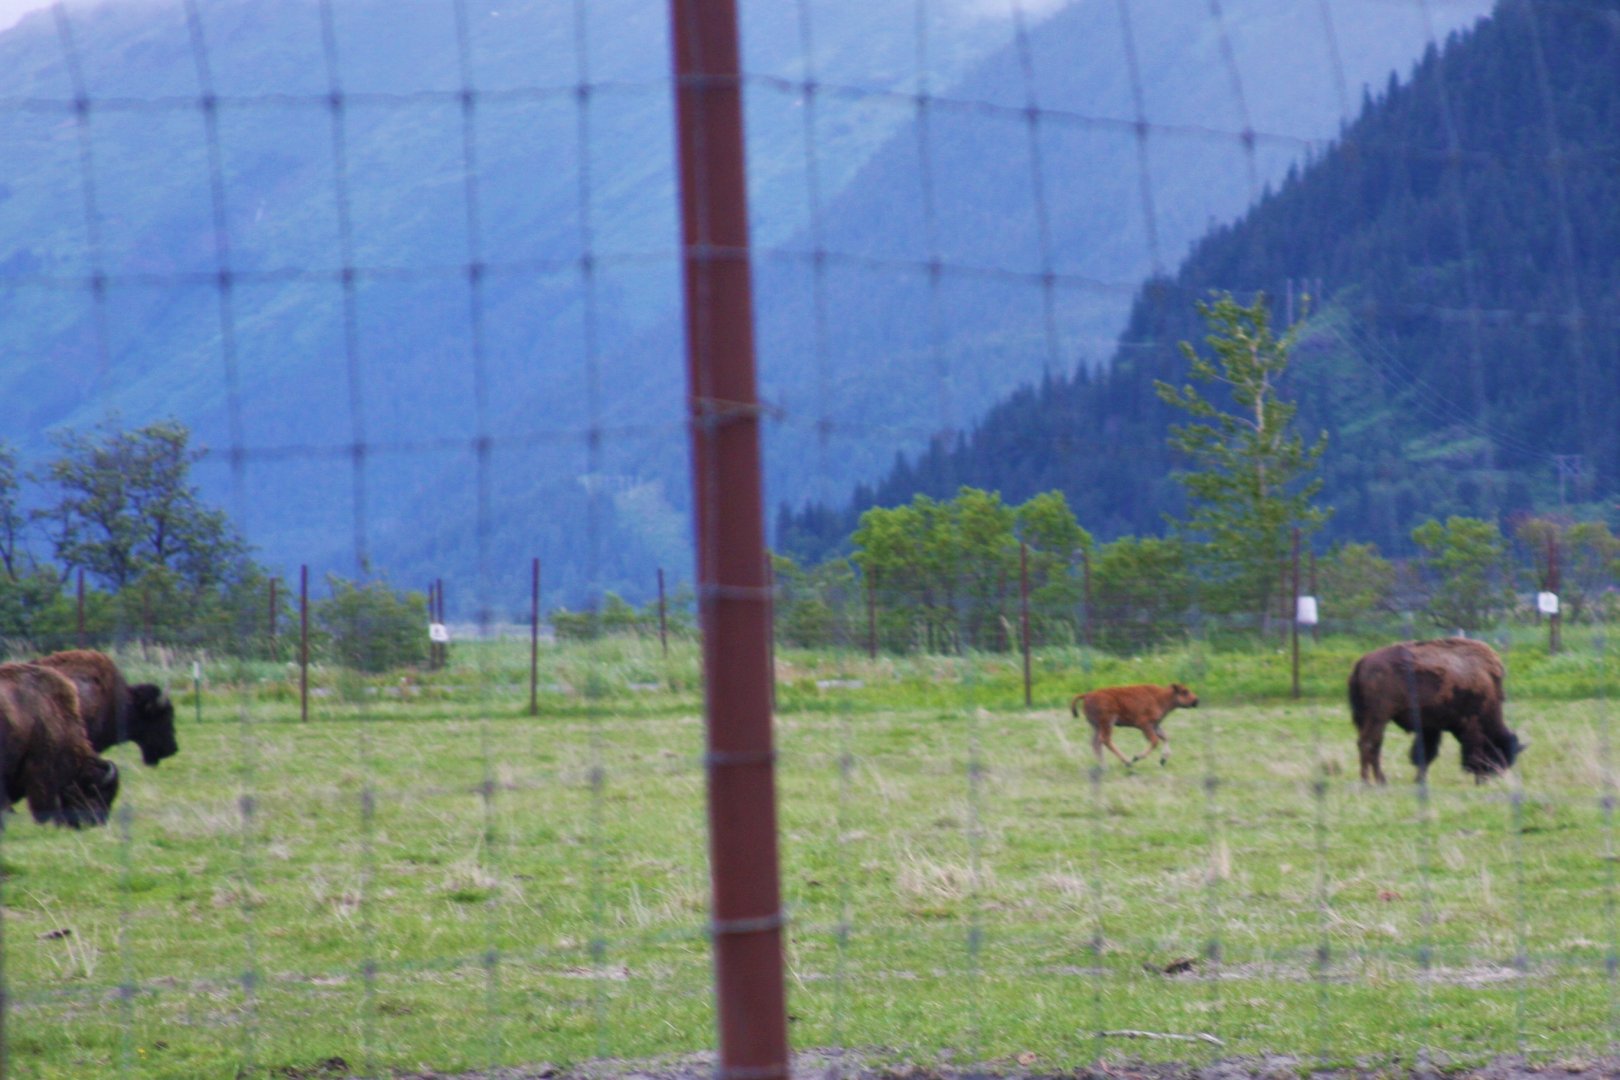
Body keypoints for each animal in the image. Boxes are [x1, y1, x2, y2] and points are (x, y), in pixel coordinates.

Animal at [1070, 682, 1200, 768]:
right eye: (1185, 692)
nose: (1196, 701)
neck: (1160, 696)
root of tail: (1087, 695)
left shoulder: (1155, 725)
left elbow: (1166, 737)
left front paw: (1163, 760)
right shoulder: (1145, 725)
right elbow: (1155, 741)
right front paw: (1136, 757)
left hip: (1096, 726)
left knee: (1095, 743)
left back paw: (1103, 765)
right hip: (1107, 723)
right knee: (1105, 740)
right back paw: (1127, 762)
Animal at [1348, 637, 1525, 784]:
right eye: (1497, 752)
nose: (1487, 779)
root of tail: (1362, 661)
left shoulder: (1431, 728)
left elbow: (1425, 754)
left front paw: (1420, 780)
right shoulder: (1470, 725)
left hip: (1370, 719)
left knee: (1373, 745)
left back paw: (1378, 781)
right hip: (1378, 717)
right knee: (1368, 744)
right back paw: (1370, 782)